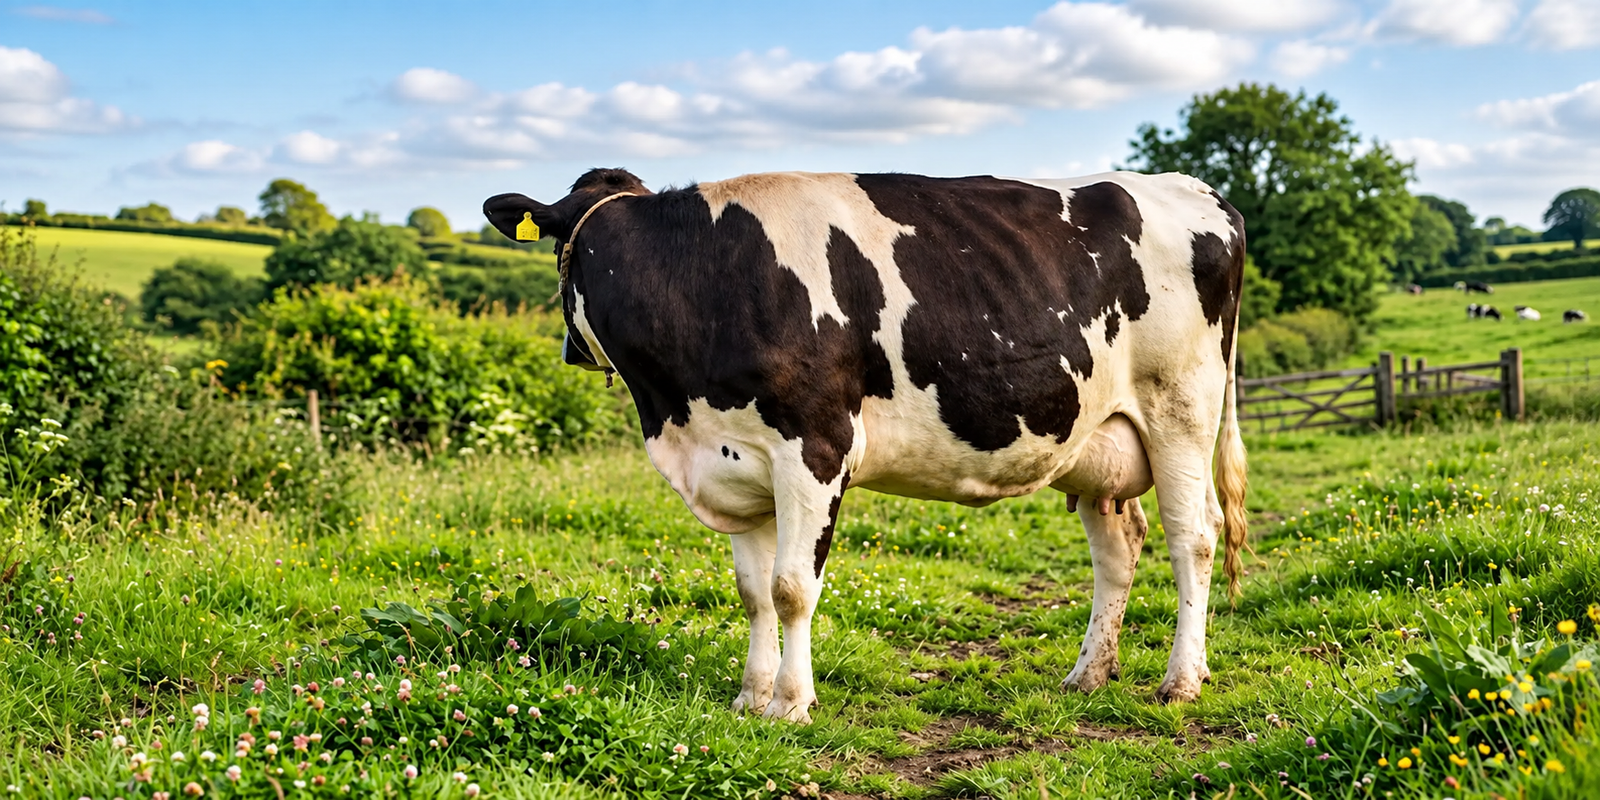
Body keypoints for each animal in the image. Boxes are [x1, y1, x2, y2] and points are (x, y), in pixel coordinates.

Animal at [484, 168, 1249, 722]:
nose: (568, 349)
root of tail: (1200, 192)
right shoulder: (736, 463)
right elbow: (753, 594)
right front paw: (749, 698)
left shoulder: (814, 448)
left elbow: (792, 588)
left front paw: (791, 705)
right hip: (1099, 438)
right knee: (1120, 546)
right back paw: (1088, 674)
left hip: (1181, 407)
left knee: (1194, 536)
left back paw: (1182, 681)